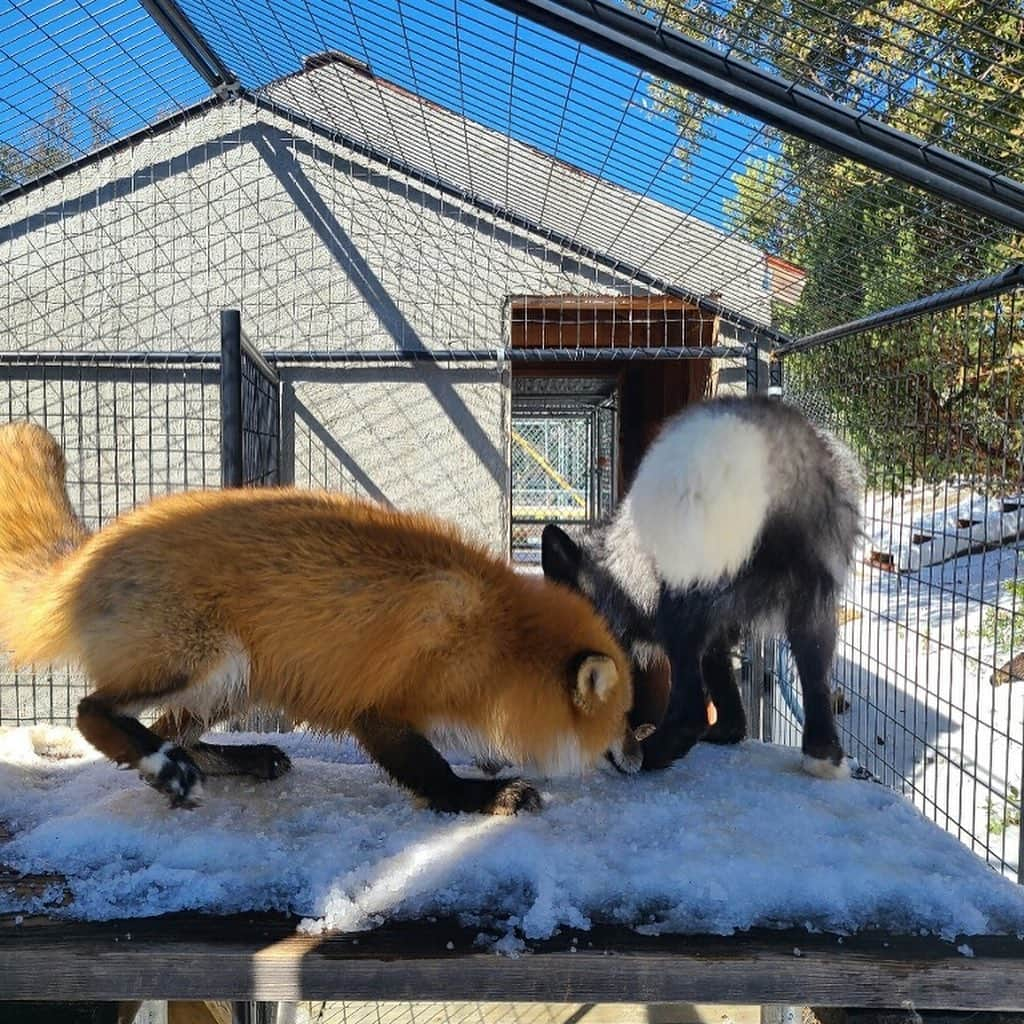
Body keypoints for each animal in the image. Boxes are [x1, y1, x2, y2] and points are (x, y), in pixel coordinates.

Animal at [0, 423, 651, 815]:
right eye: (626, 721)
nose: (642, 763)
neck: (499, 641)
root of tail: (89, 549)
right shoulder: (379, 707)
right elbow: (432, 773)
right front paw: (483, 795)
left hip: (234, 683)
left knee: (166, 729)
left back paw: (229, 760)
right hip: (205, 659)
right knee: (93, 714)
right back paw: (164, 767)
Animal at [544, 395, 864, 778]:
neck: (616, 564)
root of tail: (768, 449)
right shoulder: (718, 628)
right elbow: (724, 681)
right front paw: (729, 731)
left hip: (678, 604)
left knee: (690, 711)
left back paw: (649, 756)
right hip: (815, 604)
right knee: (816, 678)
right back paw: (823, 756)